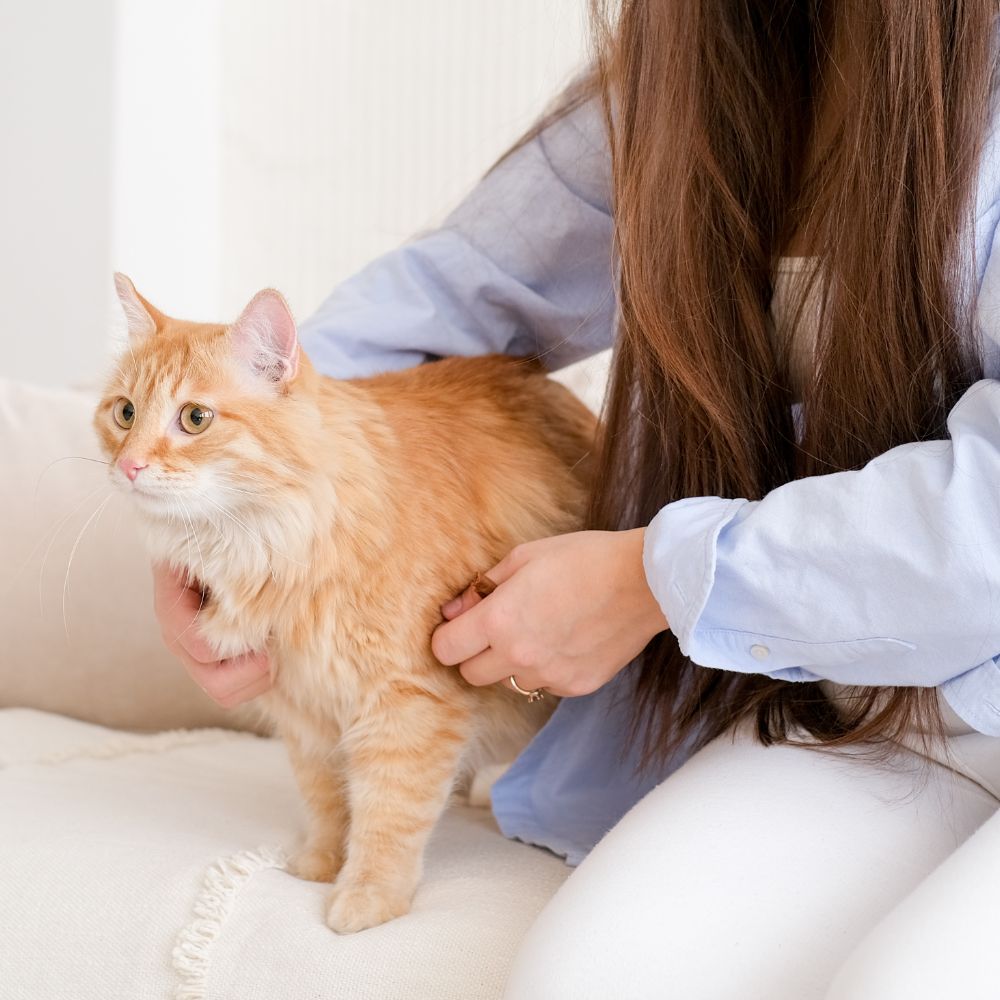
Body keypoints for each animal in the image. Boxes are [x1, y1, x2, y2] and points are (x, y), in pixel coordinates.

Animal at [94, 272, 592, 928]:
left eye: (195, 418)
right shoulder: (304, 707)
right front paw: (322, 864)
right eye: (124, 413)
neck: (277, 546)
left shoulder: (409, 702)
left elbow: (390, 812)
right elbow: (329, 801)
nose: (129, 465)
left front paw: (367, 898)